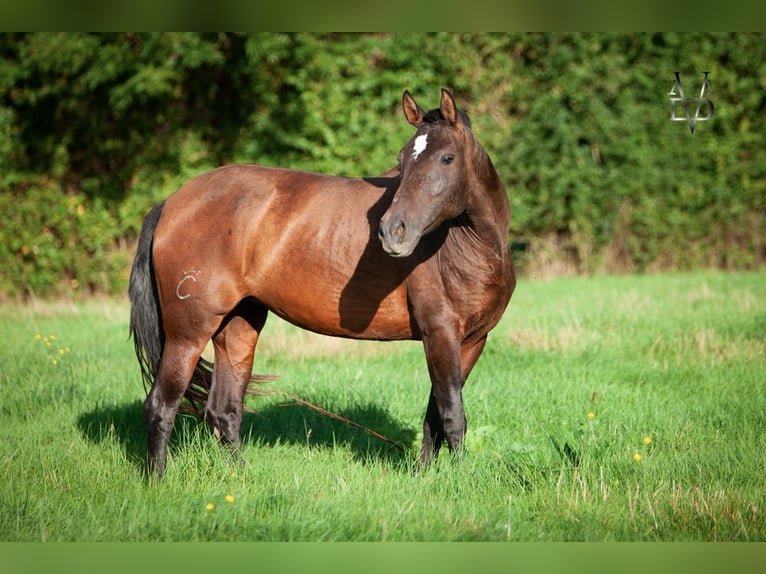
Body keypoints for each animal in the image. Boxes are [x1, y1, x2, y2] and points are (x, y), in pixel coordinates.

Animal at [130, 88, 516, 480]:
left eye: (447, 158)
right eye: (402, 159)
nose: (393, 230)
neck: (466, 246)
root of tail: (171, 204)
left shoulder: (471, 341)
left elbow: (435, 415)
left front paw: (423, 474)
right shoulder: (439, 334)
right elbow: (452, 415)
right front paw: (458, 478)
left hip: (238, 326)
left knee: (224, 409)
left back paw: (240, 476)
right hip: (188, 332)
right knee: (161, 405)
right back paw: (159, 480)